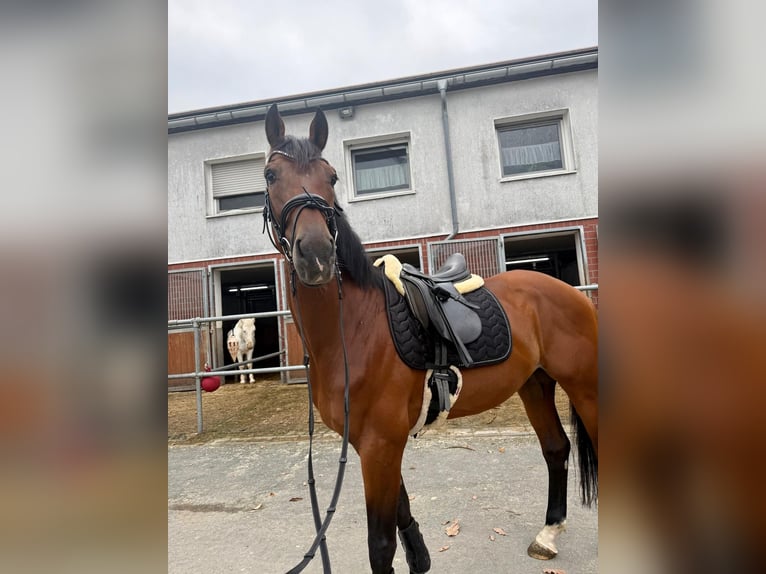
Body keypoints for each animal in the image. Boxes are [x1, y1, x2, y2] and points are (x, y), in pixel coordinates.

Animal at [261, 104, 598, 574]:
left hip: (586, 386)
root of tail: (569, 291)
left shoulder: (382, 443)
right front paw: (420, 556)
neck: (353, 330)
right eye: (271, 174)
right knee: (556, 448)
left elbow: (381, 544)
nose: (316, 255)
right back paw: (548, 534)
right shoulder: (372, 444)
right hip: (535, 384)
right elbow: (403, 519)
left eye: (331, 177)